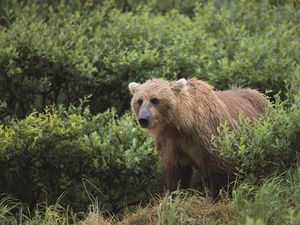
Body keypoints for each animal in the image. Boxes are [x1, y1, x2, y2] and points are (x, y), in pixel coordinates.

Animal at [128, 78, 268, 200]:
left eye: (155, 100)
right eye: (139, 101)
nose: (143, 119)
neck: (181, 126)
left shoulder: (207, 137)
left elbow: (220, 167)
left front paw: (216, 197)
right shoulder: (170, 143)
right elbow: (177, 173)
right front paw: (175, 196)